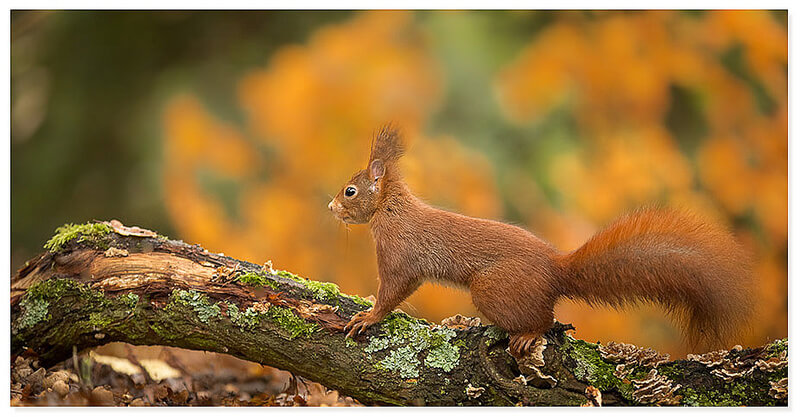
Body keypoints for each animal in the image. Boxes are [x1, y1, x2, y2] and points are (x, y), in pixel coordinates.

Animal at [328, 125, 754, 356]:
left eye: (350, 191)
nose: (330, 206)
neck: (390, 209)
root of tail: (555, 270)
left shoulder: (400, 253)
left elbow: (395, 289)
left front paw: (368, 316)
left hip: (493, 289)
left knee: (546, 320)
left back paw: (528, 334)